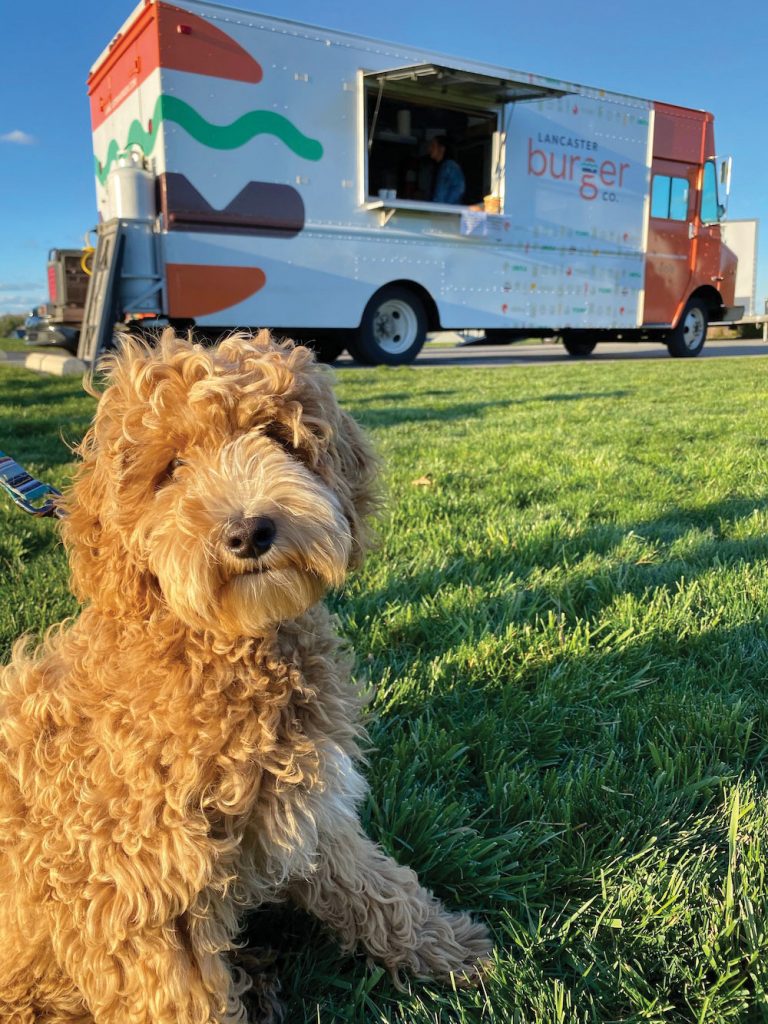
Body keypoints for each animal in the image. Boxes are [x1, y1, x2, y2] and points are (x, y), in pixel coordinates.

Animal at [0, 331, 491, 1023]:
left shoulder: (300, 803)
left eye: (278, 437)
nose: (249, 531)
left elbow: (370, 881)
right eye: (170, 469)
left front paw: (444, 946)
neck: (223, 648)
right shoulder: (137, 893)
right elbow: (181, 1001)